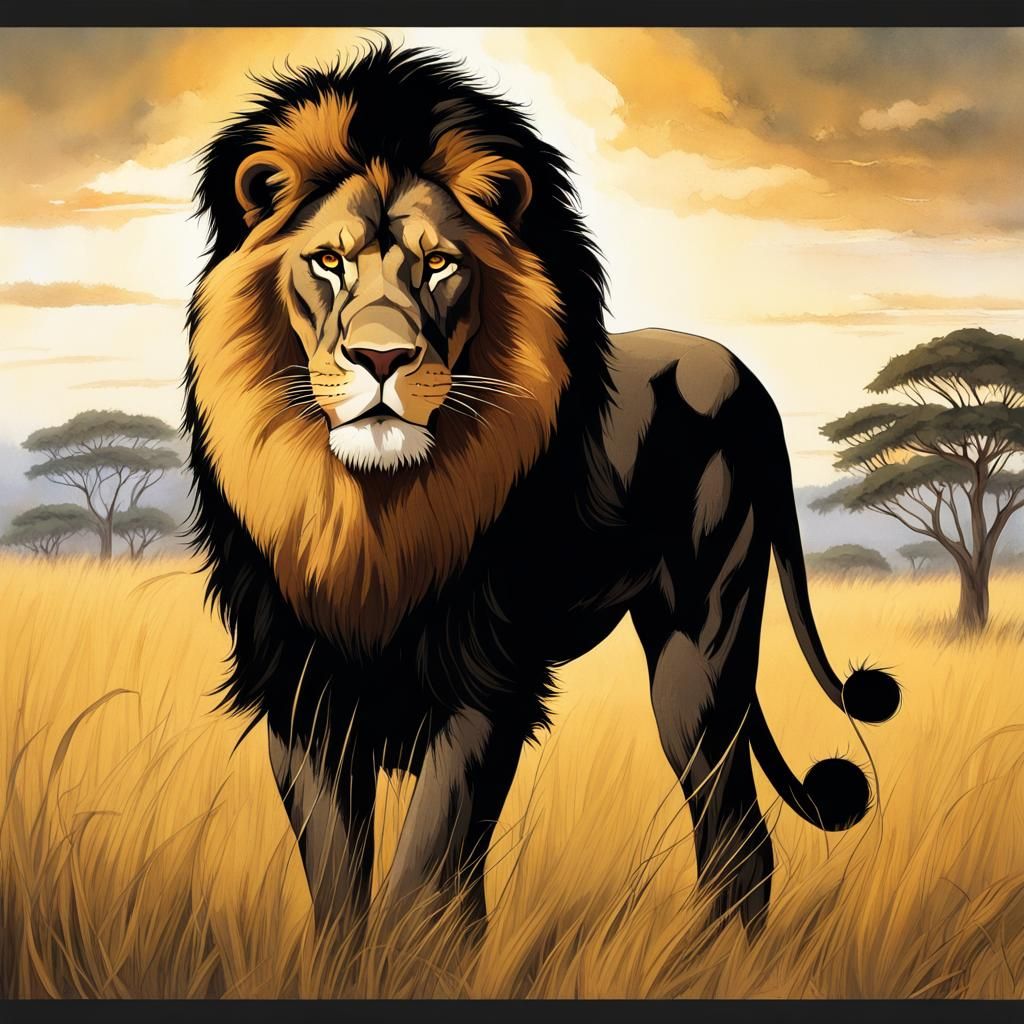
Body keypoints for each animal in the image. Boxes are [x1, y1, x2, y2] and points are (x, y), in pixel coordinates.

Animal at [184, 43, 900, 940]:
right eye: (328, 260)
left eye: (440, 265)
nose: (381, 358)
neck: (370, 512)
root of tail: (747, 378)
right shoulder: (300, 692)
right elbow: (347, 890)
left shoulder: (483, 683)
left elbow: (422, 876)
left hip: (700, 649)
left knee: (738, 835)